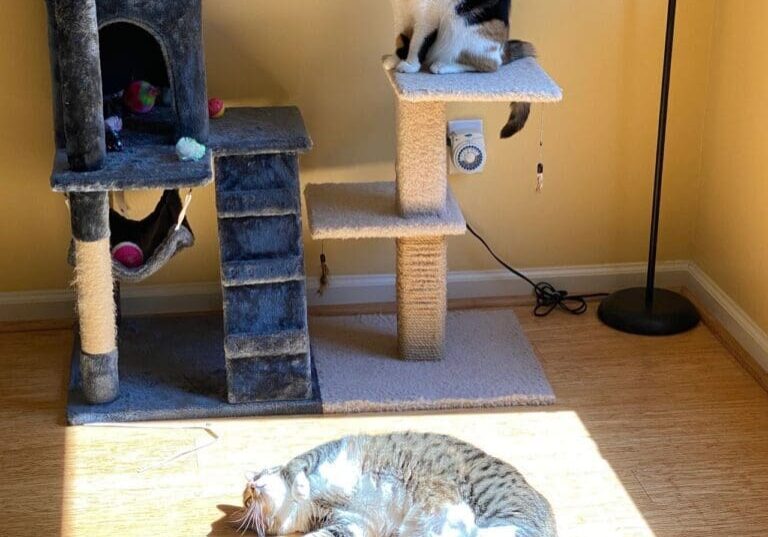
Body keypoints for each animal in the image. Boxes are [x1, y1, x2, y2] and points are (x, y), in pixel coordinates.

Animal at [234, 432, 560, 536]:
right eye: (248, 501)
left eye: (254, 481)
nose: (253, 487)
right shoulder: (350, 523)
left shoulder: (324, 454)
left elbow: (296, 468)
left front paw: (299, 486)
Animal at [382, 0, 536, 138]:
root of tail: (503, 49)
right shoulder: (400, 12)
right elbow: (400, 38)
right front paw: (395, 59)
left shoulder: (427, 16)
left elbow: (416, 43)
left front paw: (410, 64)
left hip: (459, 23)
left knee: (489, 64)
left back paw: (443, 66)